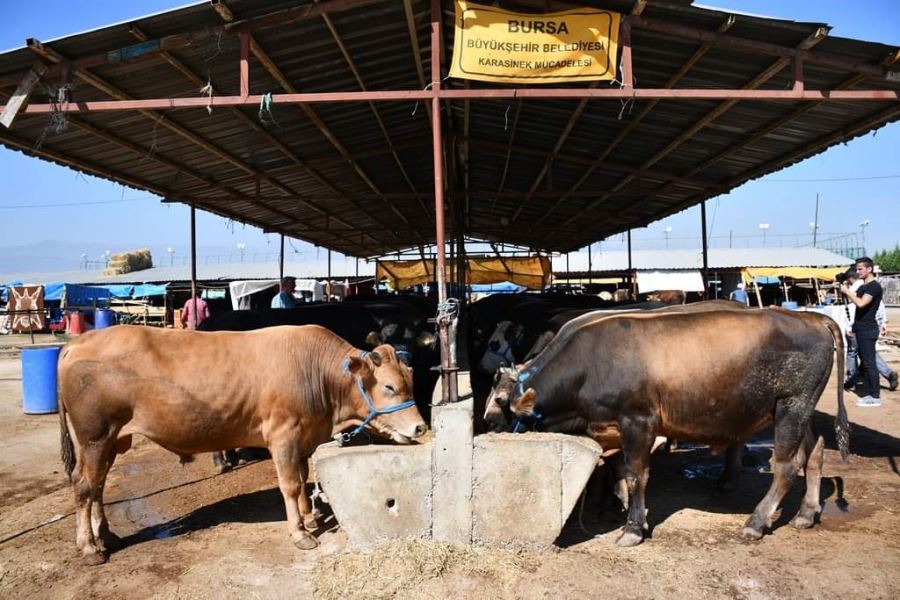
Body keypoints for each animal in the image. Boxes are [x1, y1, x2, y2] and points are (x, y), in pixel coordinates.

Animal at [58, 324, 428, 564]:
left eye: (410, 381)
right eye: (390, 387)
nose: (420, 426)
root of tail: (79, 342)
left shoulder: (303, 436)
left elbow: (304, 477)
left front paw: (309, 519)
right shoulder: (283, 435)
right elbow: (291, 484)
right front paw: (300, 533)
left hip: (110, 440)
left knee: (98, 485)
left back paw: (106, 535)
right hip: (95, 436)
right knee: (84, 486)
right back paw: (89, 548)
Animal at [486, 308, 844, 548]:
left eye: (501, 401)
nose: (487, 425)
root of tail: (813, 318)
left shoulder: (638, 421)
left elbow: (636, 475)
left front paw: (632, 529)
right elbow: (620, 474)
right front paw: (631, 515)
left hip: (790, 406)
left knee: (786, 466)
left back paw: (756, 522)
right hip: (801, 410)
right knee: (814, 453)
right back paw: (805, 513)